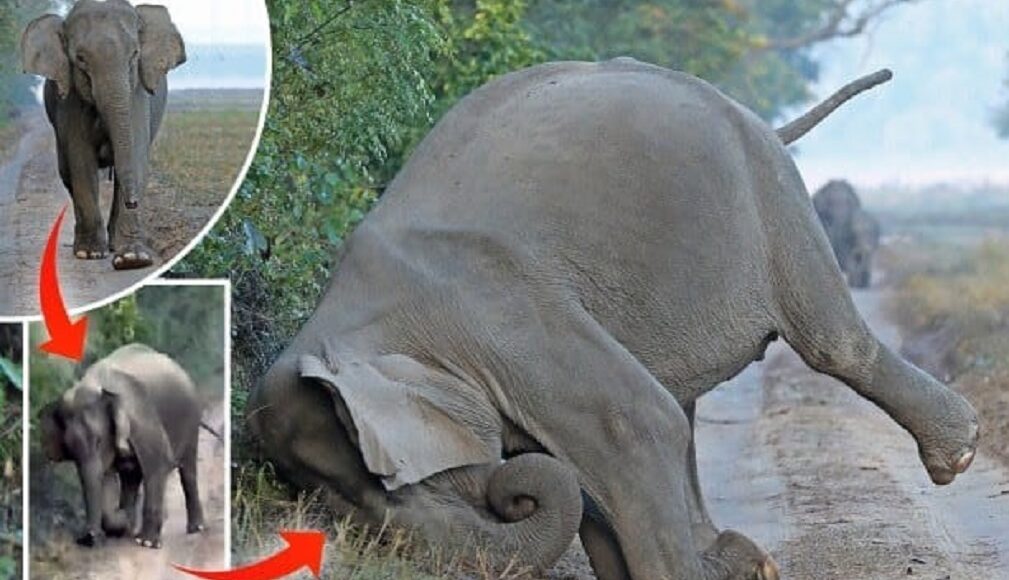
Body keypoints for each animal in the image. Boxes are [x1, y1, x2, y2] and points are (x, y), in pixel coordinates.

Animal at [21, 0, 186, 270]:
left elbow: (136, 157)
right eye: (80, 59)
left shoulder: (137, 92)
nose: (133, 202)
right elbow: (81, 162)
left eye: (135, 54)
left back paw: (115, 244)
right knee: (67, 173)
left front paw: (132, 259)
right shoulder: (69, 98)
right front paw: (89, 253)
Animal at [41, 344, 207, 549]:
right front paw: (122, 521)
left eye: (99, 441)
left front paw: (147, 543)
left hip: (191, 419)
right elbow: (105, 477)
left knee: (187, 470)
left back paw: (195, 529)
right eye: (70, 449)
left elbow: (159, 464)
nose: (87, 539)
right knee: (131, 476)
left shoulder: (142, 417)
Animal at [249, 60, 978, 580]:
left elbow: (629, 428)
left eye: (383, 483)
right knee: (680, 402)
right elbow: (588, 473)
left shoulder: (504, 311)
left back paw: (959, 451)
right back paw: (738, 558)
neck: (357, 315)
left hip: (766, 189)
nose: (510, 495)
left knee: (829, 343)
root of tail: (748, 114)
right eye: (335, 501)